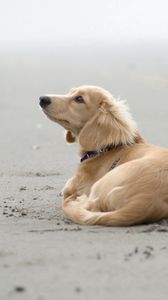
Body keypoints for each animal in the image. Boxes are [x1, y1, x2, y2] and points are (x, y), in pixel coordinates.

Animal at [39, 85, 168, 226]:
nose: (42, 98)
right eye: (70, 92)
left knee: (91, 205)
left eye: (79, 99)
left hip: (101, 184)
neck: (106, 148)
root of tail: (144, 202)